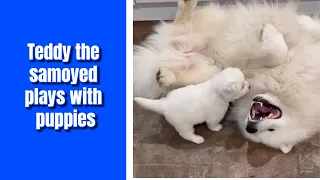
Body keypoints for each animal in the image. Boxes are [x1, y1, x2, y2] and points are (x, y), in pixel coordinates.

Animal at [134, 0, 320, 154]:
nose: (250, 128)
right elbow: (284, 48)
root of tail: (167, 53)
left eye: (270, 131)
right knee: (181, 21)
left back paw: (166, 75)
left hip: (207, 70)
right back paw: (187, 4)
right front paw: (292, 23)